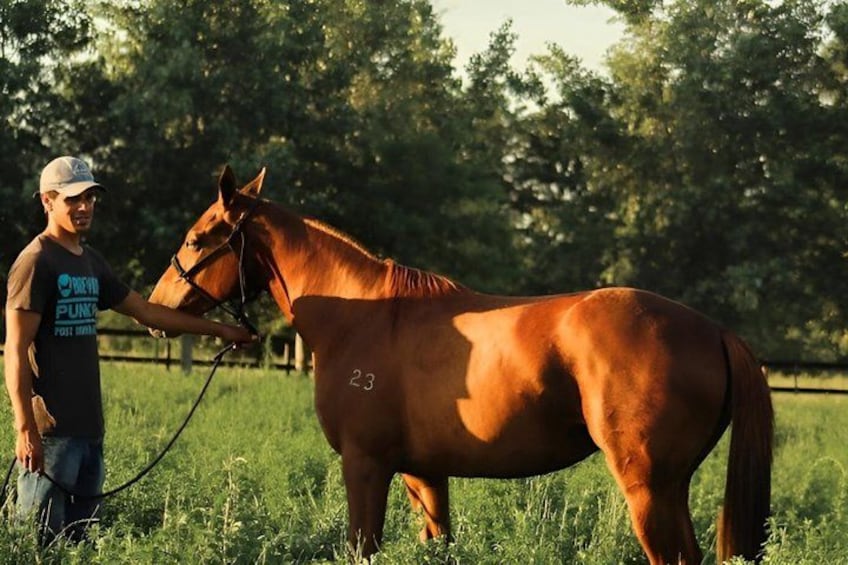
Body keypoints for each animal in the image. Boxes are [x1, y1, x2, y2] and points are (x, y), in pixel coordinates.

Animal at [148, 166, 773, 564]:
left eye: (198, 238)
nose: (156, 307)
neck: (360, 315)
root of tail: (713, 330)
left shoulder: (365, 466)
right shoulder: (424, 474)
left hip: (649, 489)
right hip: (670, 489)